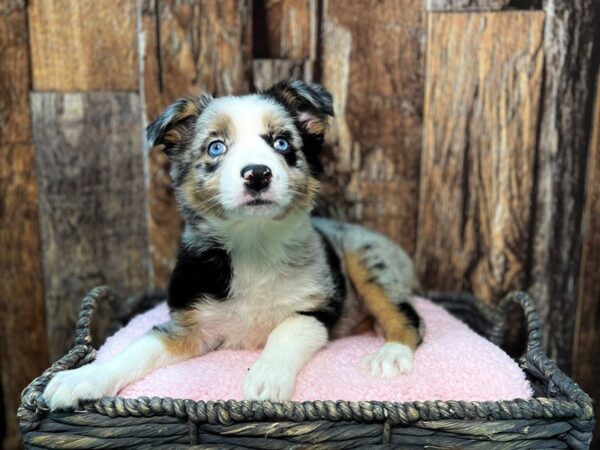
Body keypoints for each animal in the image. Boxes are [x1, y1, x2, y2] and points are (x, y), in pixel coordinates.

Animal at [43, 81, 422, 408]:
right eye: (216, 147)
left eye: (281, 143)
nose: (257, 173)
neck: (253, 244)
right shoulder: (188, 325)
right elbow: (139, 349)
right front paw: (83, 378)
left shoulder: (319, 307)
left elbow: (286, 329)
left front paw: (266, 377)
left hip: (369, 260)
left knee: (408, 316)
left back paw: (391, 354)